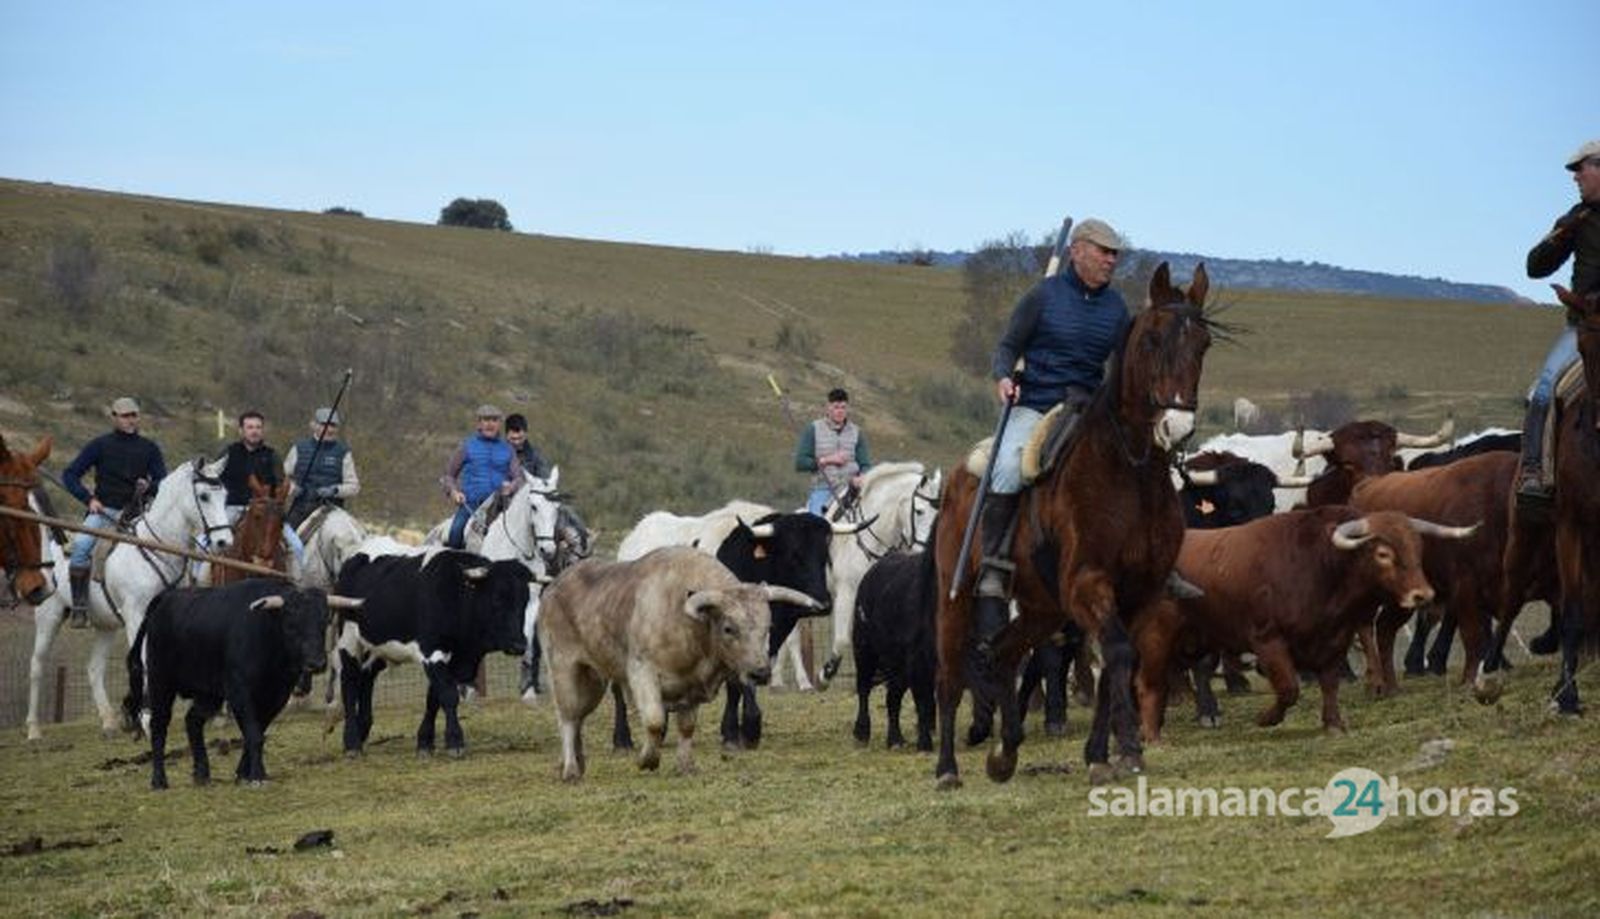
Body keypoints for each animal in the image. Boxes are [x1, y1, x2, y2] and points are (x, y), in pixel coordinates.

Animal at [27, 457, 233, 739]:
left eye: (225, 495)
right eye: (203, 496)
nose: (225, 542)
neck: (156, 548)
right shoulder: (136, 614)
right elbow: (144, 660)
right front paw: (147, 717)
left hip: (105, 626)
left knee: (94, 669)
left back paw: (109, 721)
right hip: (49, 616)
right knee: (37, 665)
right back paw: (33, 729)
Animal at [933, 262, 1220, 788]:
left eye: (1203, 343)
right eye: (1152, 338)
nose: (1176, 428)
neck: (1129, 470)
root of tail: (960, 473)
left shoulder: (1137, 593)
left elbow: (1118, 661)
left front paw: (1100, 754)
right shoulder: (1089, 583)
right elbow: (1120, 654)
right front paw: (1129, 749)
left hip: (1044, 606)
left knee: (1003, 654)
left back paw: (1005, 751)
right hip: (955, 596)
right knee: (948, 676)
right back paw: (946, 769)